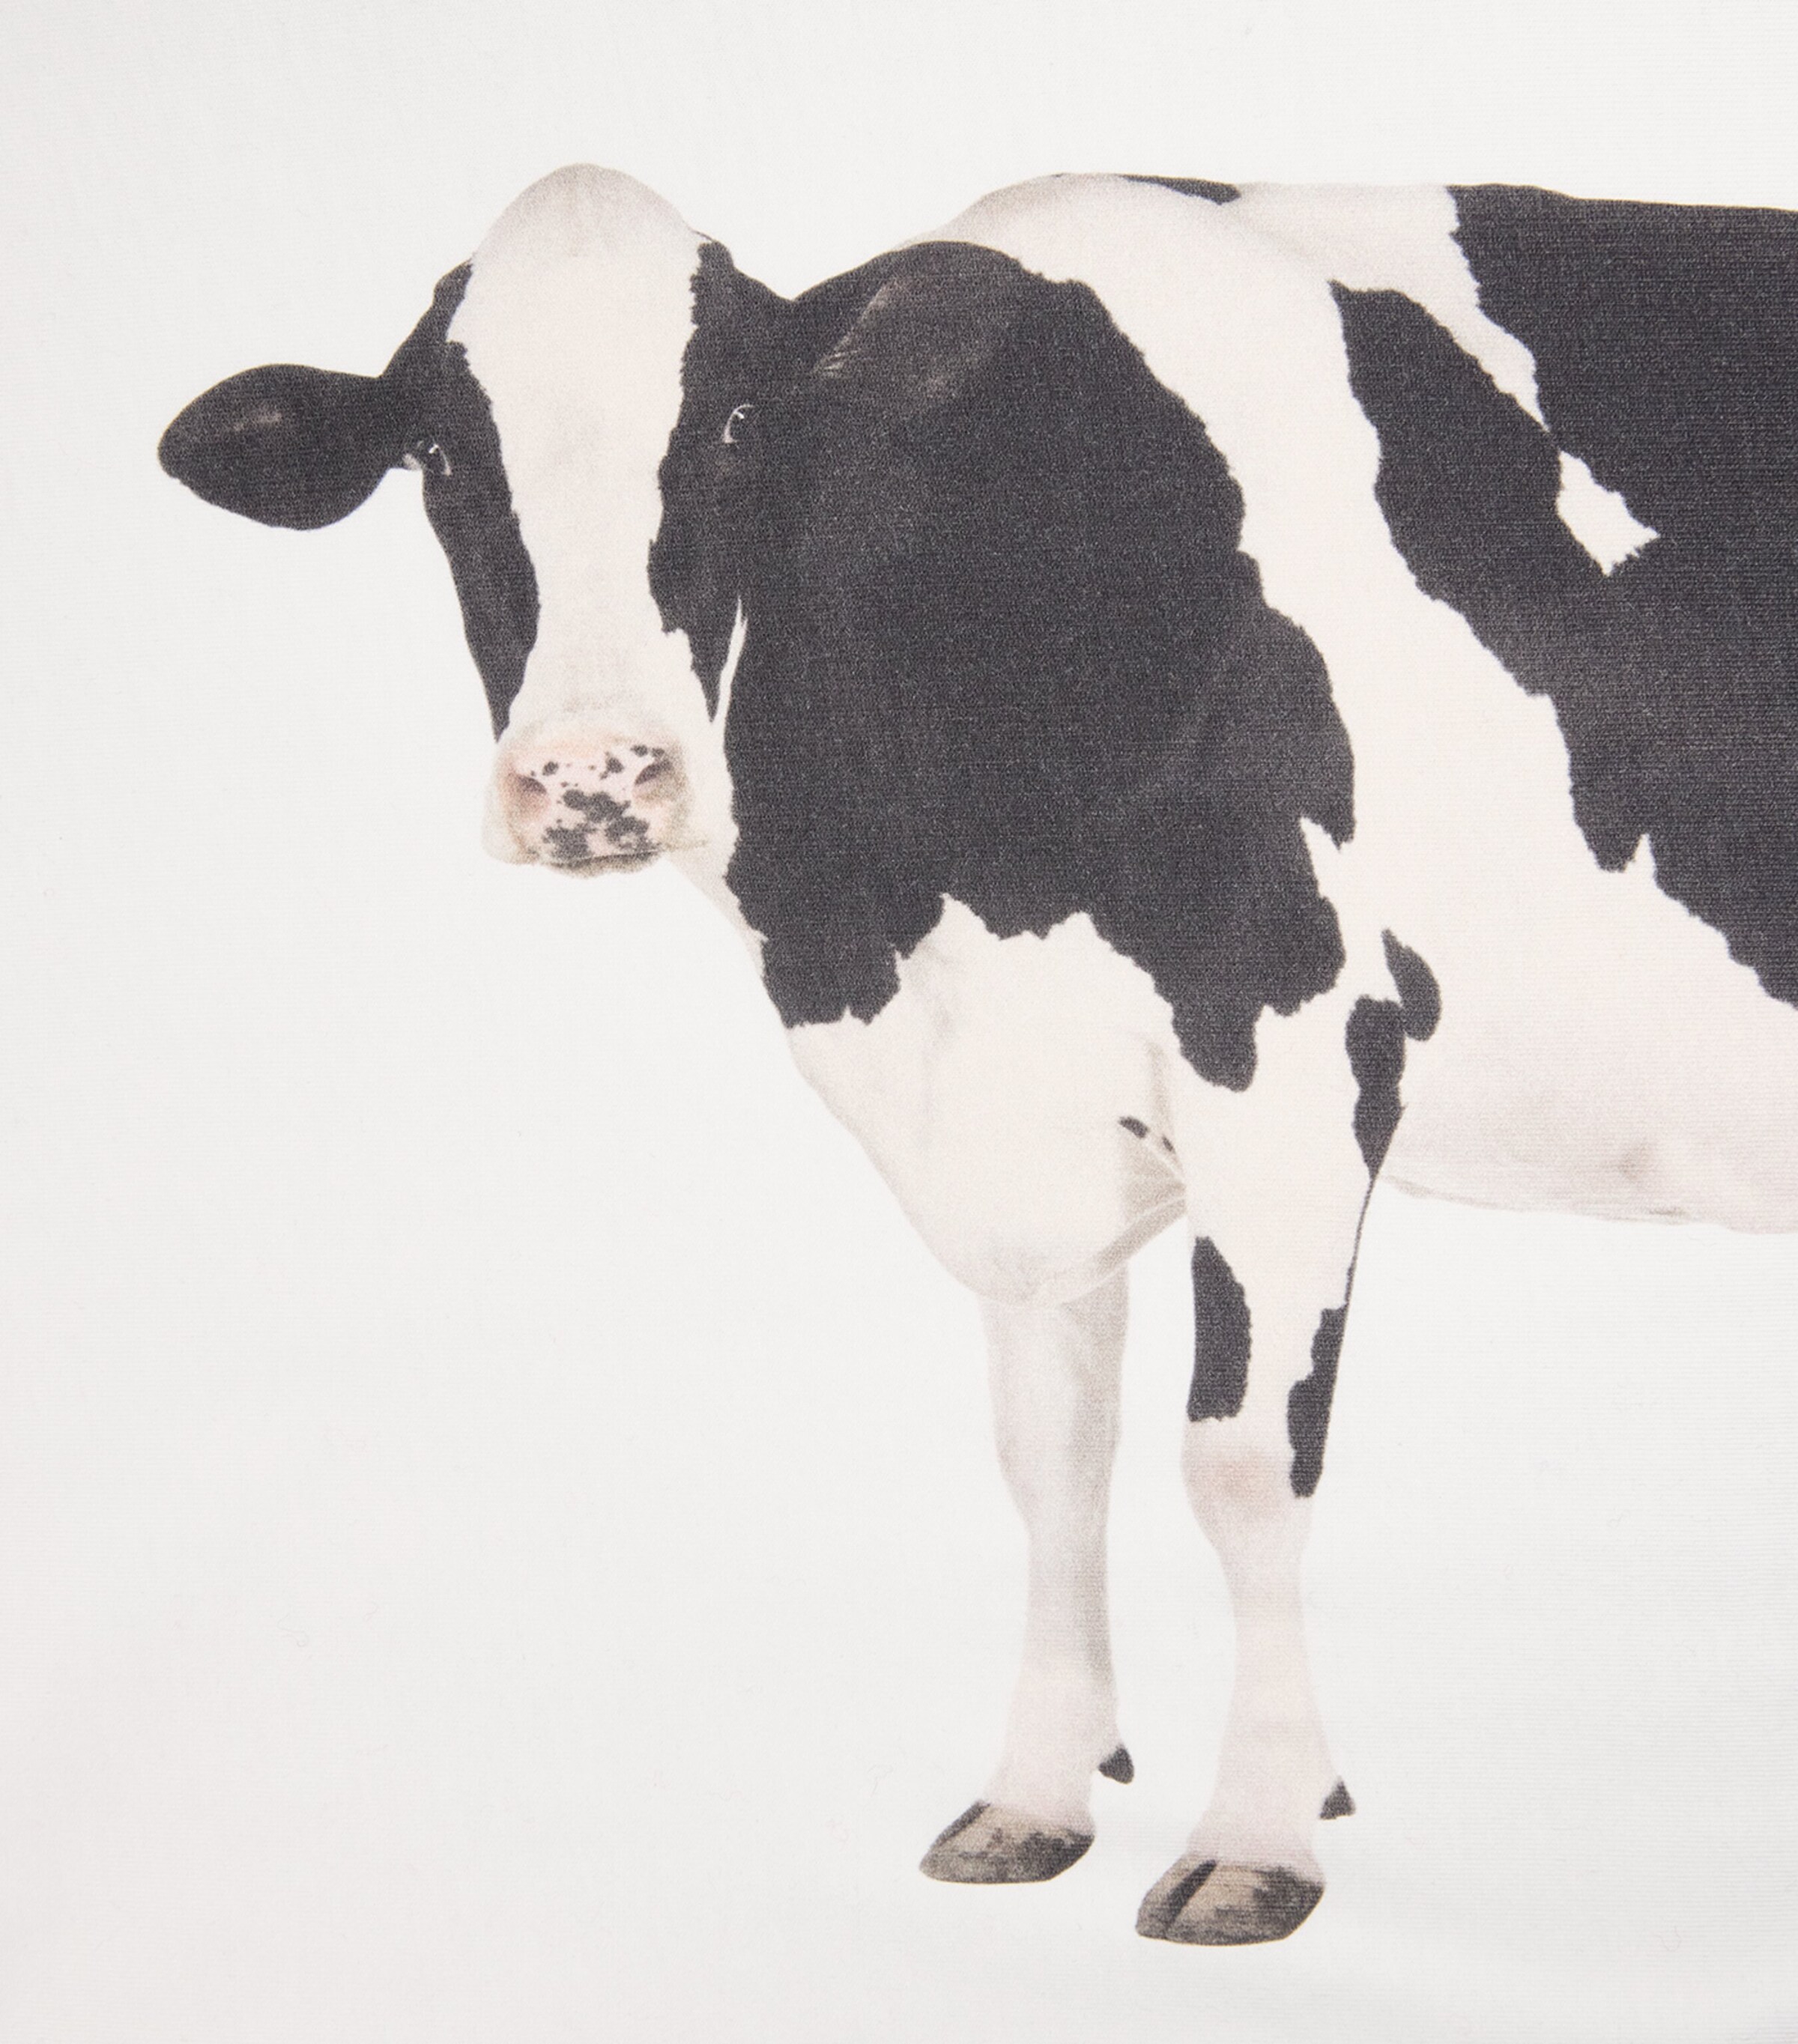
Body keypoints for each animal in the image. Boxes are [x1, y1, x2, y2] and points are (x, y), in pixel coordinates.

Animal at [158, 166, 1798, 1947]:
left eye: (734, 424)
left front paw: (1258, 1829)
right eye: (443, 456)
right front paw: (1037, 1790)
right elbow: (1050, 1460)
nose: (594, 770)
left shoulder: (1294, 1050)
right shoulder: (1028, 1105)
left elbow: (1241, 1460)